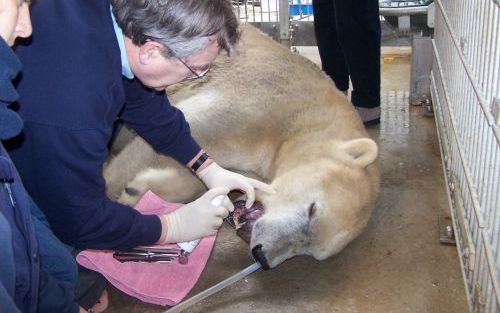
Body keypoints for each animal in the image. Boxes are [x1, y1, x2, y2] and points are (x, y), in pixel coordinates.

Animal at [104, 24, 378, 268]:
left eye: (308, 252)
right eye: (312, 211)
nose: (262, 256)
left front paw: (140, 188)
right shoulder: (257, 103)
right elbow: (172, 132)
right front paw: (120, 195)